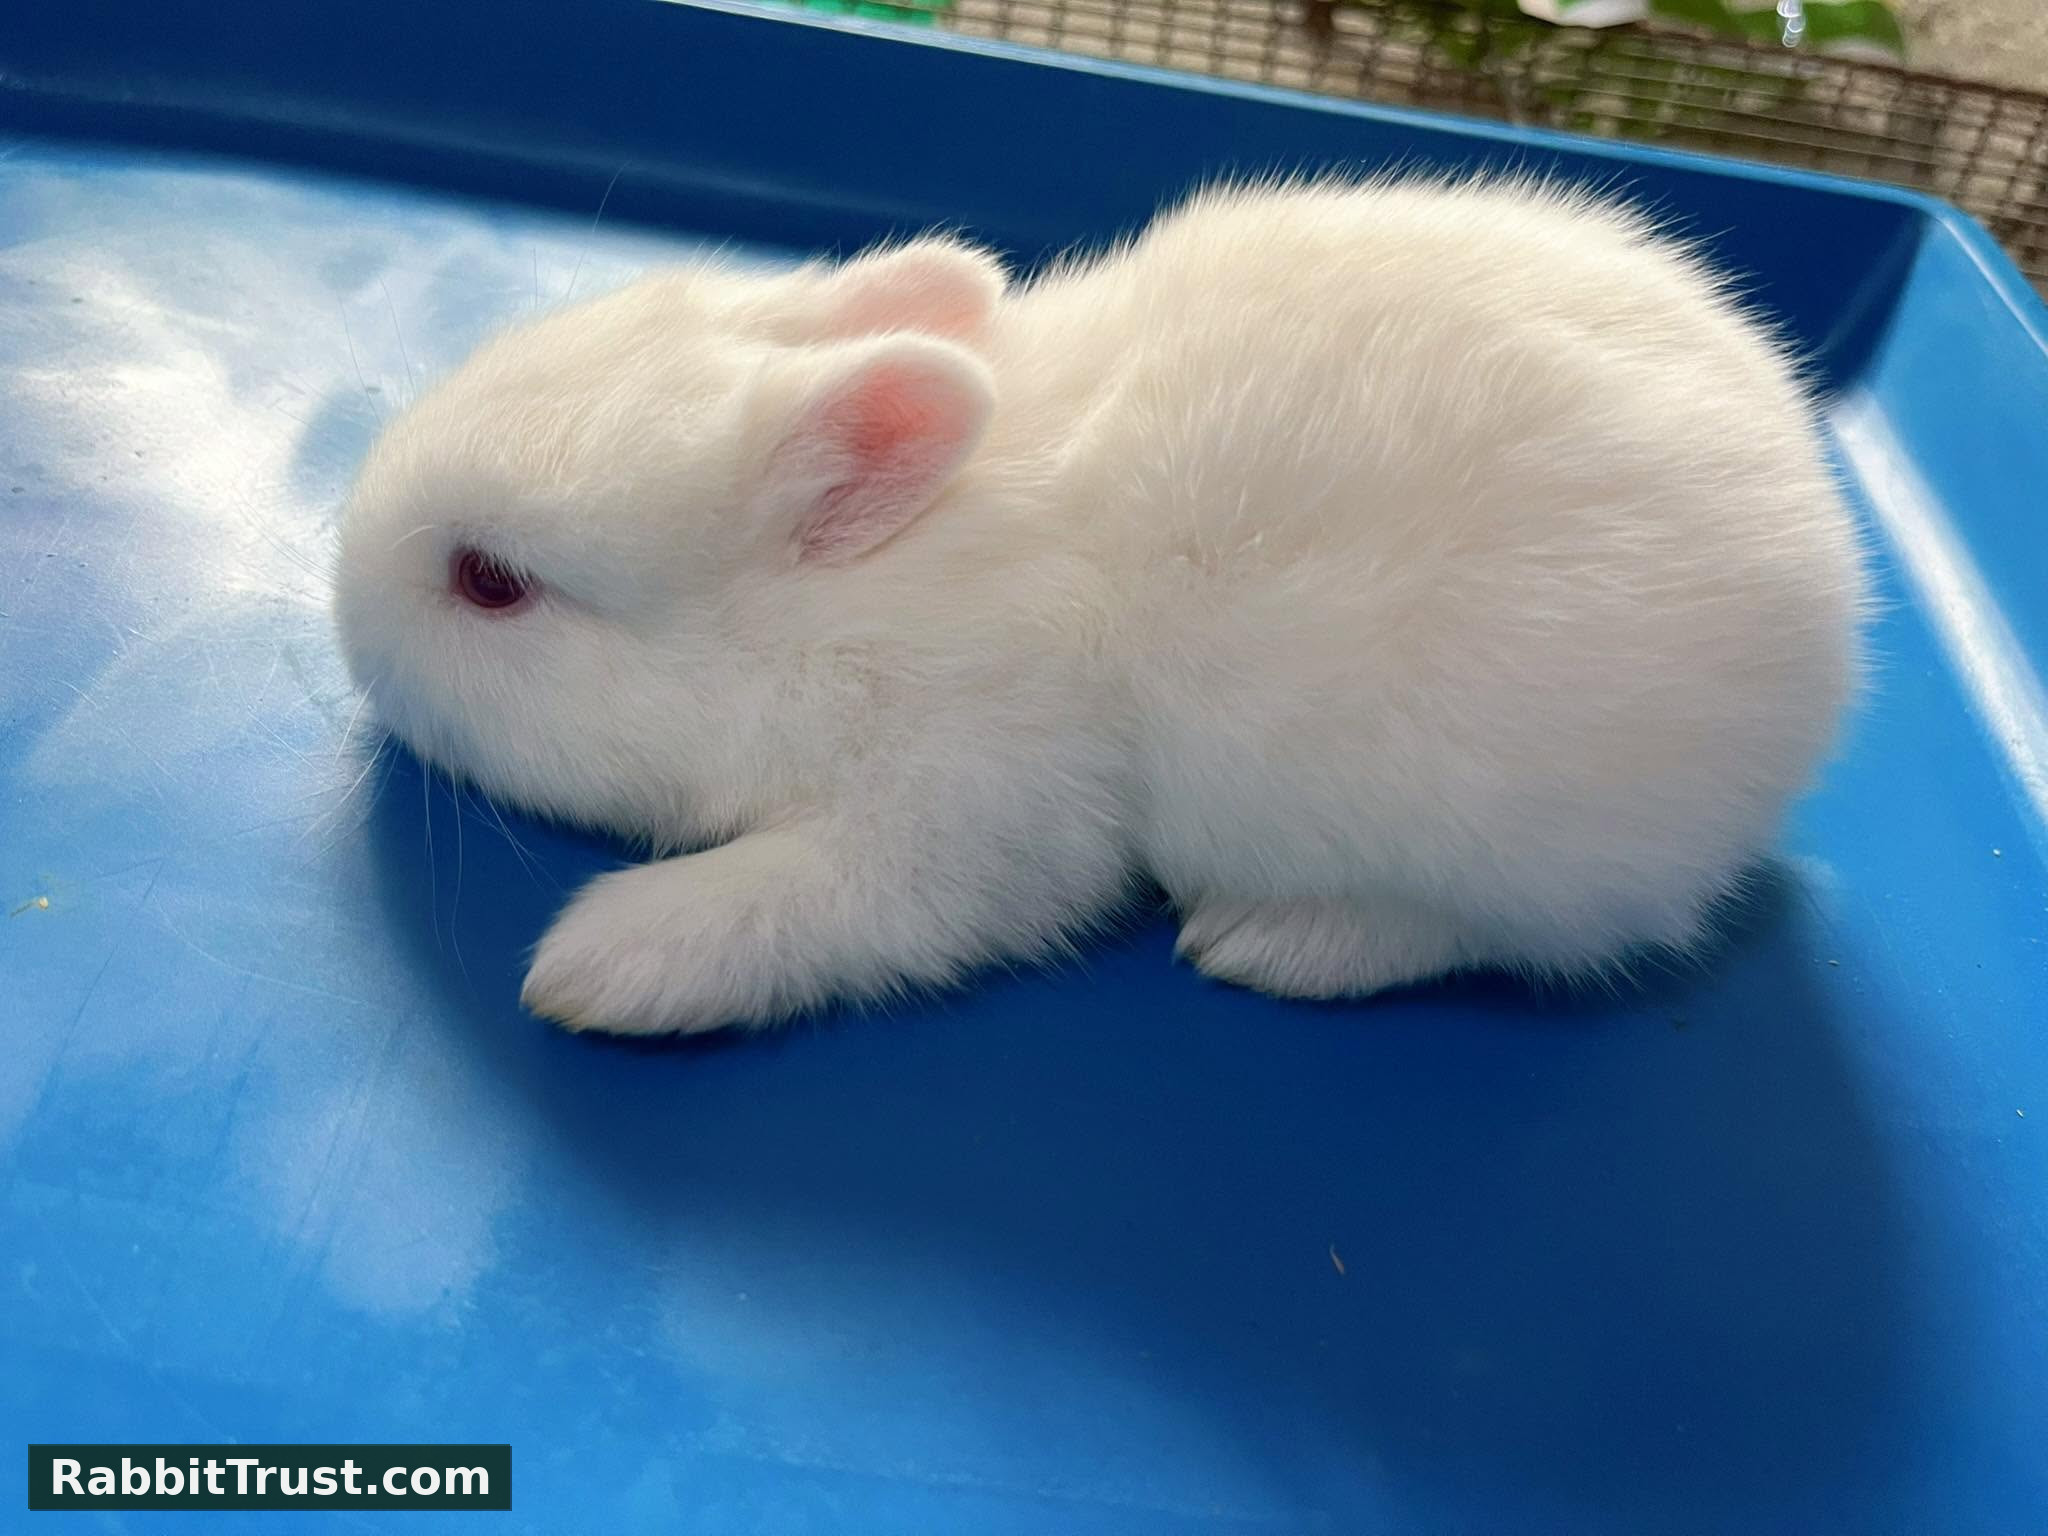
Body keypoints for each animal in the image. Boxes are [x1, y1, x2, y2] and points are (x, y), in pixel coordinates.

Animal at [333, 176, 1866, 1036]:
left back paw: (1277, 943)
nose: (342, 601)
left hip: (1502, 837)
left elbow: (822, 904)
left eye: (491, 583)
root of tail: (1830, 587)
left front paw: (597, 967)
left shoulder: (971, 813)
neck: (852, 602)